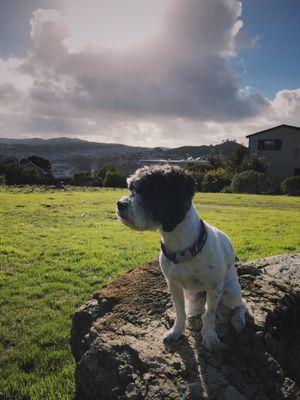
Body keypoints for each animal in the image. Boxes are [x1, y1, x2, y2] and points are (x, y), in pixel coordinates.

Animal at [116, 164, 246, 348]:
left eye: (147, 192)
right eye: (132, 189)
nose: (120, 204)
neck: (183, 248)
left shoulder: (214, 288)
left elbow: (210, 313)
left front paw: (209, 336)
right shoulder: (174, 285)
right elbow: (180, 311)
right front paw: (176, 331)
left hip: (229, 292)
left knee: (241, 304)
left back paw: (238, 319)